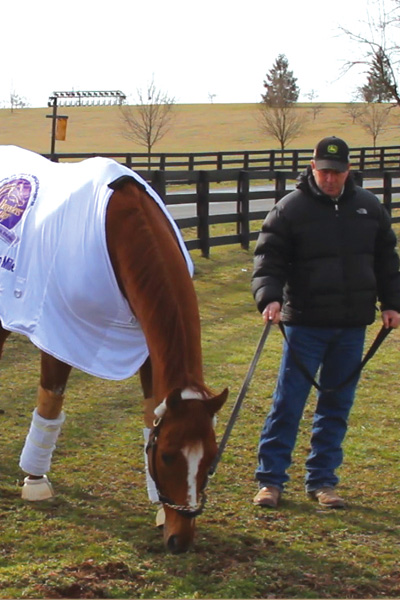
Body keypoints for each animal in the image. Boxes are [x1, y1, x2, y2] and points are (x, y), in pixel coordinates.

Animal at [0, 149, 227, 552]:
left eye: (210, 458)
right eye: (168, 455)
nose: (180, 540)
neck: (117, 225)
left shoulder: (148, 348)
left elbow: (151, 412)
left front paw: (158, 509)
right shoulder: (59, 332)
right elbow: (51, 400)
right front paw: (35, 480)